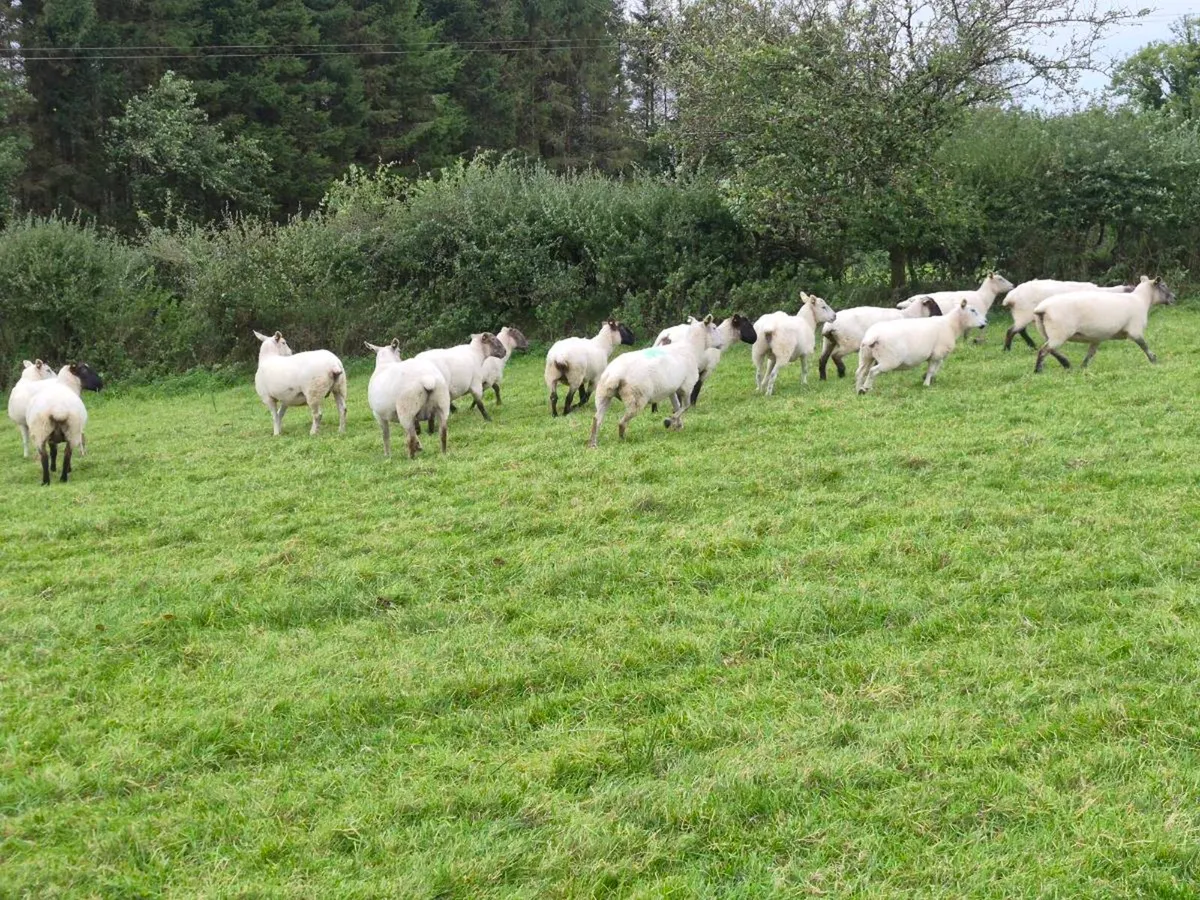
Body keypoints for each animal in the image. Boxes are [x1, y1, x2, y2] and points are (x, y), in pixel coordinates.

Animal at [588, 317, 716, 447]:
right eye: (714, 327)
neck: (691, 348)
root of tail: (615, 374)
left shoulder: (672, 388)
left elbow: (677, 405)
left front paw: (677, 424)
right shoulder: (686, 386)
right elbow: (685, 406)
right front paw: (669, 421)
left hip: (603, 394)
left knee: (596, 419)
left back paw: (593, 444)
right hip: (637, 398)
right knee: (622, 422)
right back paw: (623, 440)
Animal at [855, 299, 988, 394]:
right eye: (973, 310)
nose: (985, 323)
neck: (951, 325)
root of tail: (872, 336)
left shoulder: (937, 355)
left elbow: (936, 368)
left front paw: (927, 379)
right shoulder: (937, 354)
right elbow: (931, 370)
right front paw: (927, 384)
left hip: (866, 356)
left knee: (860, 372)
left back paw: (858, 389)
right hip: (889, 360)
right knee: (872, 371)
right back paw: (866, 388)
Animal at [1001, 279, 1133, 351]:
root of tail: (1011, 296)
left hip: (1021, 315)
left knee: (1020, 330)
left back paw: (1032, 346)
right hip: (1024, 314)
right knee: (1011, 331)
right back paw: (1007, 349)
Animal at [1032, 276, 1176, 373]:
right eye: (1163, 285)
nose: (1174, 298)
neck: (1142, 300)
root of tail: (1042, 308)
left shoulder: (1096, 338)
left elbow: (1090, 354)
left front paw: (1083, 367)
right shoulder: (1135, 331)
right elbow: (1144, 346)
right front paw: (1154, 360)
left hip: (1048, 333)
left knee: (1050, 349)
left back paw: (1065, 364)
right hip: (1059, 333)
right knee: (1044, 350)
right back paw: (1038, 371)